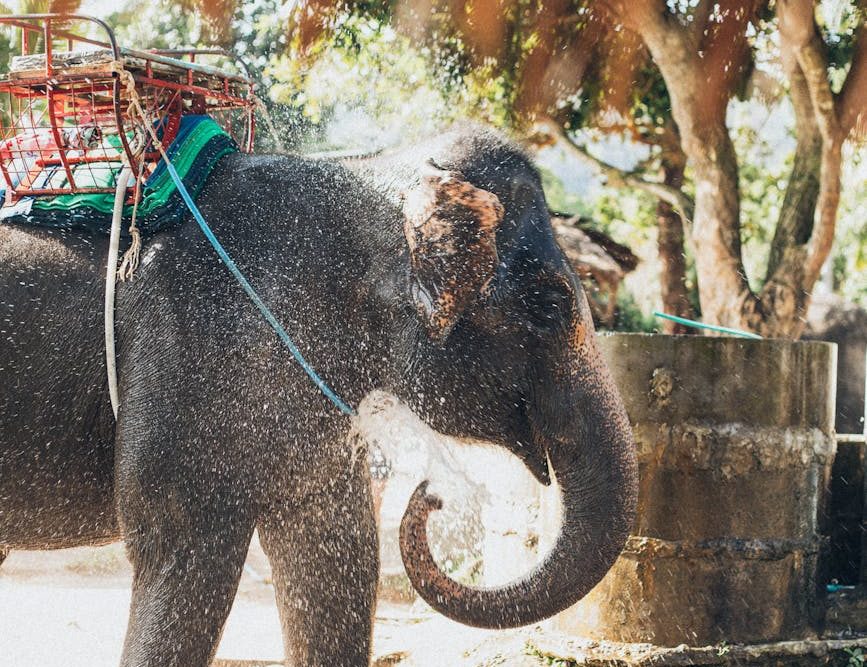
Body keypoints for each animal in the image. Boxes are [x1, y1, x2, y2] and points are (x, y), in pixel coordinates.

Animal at [0, 125, 638, 666]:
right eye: (551, 305)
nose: (431, 496)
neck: (370, 177)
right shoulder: (193, 350)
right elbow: (183, 553)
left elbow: (335, 555)